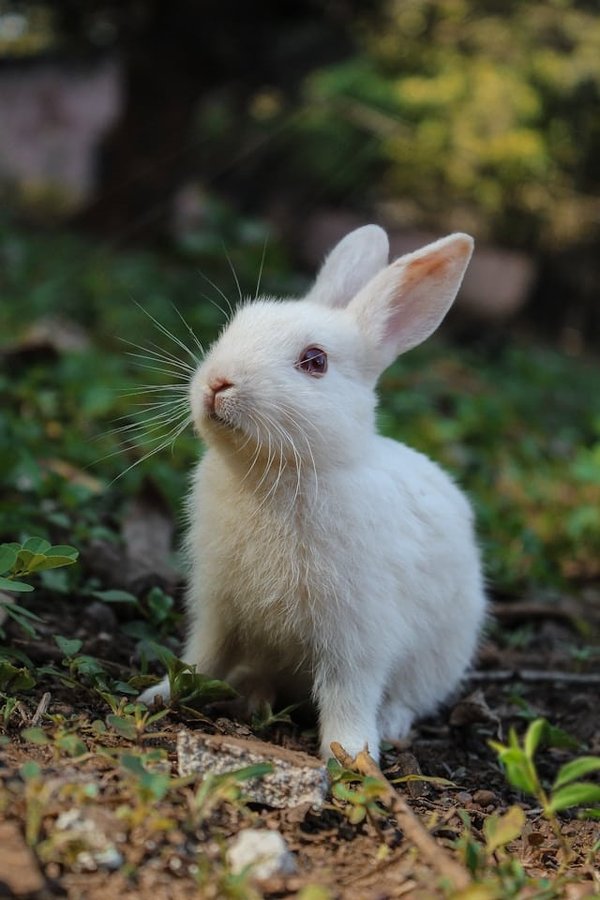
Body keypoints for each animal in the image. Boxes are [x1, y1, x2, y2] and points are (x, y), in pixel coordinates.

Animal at [140, 225, 487, 762]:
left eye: (315, 361)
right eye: (235, 326)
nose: (218, 383)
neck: (276, 472)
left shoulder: (357, 634)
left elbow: (348, 693)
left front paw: (352, 755)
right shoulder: (217, 607)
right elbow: (202, 656)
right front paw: (160, 694)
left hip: (441, 654)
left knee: (409, 696)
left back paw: (390, 725)